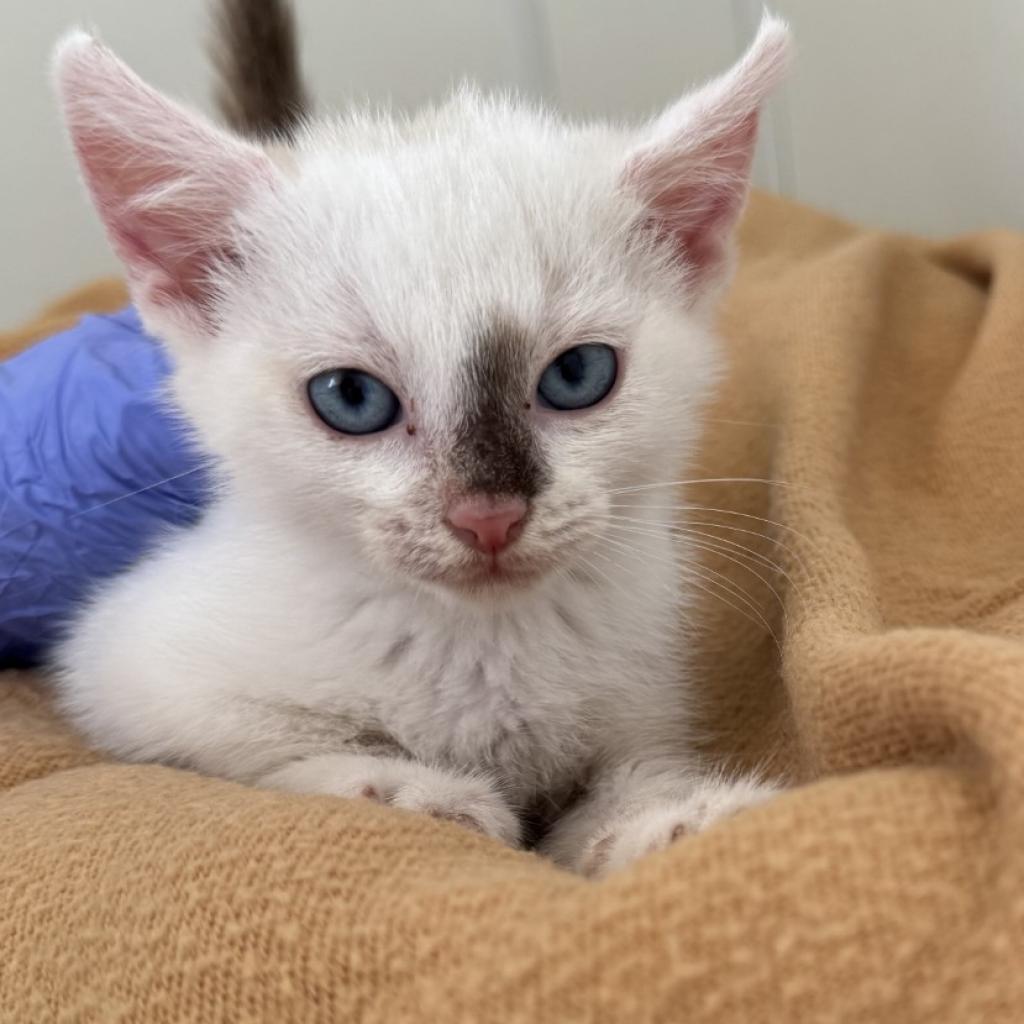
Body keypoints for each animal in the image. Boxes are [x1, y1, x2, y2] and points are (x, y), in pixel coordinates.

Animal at [49, 4, 790, 876]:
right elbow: (267, 760)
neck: (482, 645)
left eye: (577, 374)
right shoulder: (124, 668)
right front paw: (413, 792)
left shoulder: (644, 706)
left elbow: (622, 786)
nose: (488, 515)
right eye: (351, 397)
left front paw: (678, 821)